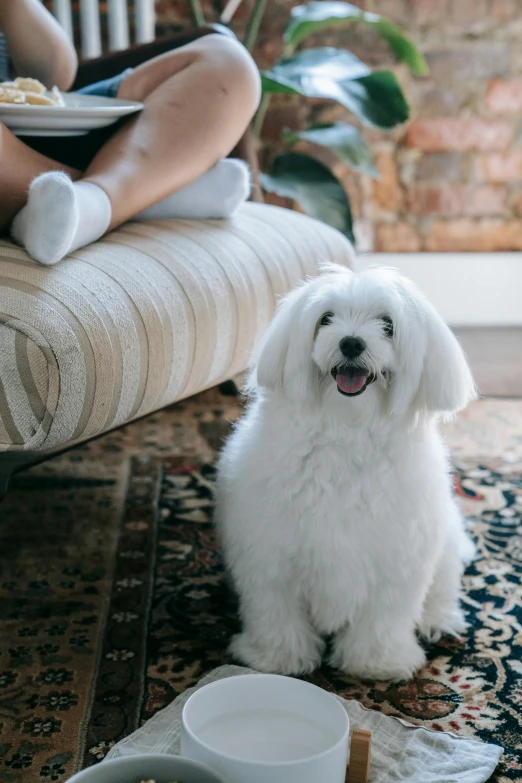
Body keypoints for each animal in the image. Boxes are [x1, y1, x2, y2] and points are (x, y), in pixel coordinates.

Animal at [212, 264, 476, 680]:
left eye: (387, 324)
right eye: (326, 318)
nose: (351, 343)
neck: (346, 431)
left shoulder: (396, 561)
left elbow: (383, 618)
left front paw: (377, 663)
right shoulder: (269, 554)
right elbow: (275, 610)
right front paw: (277, 658)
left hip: (444, 547)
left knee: (443, 589)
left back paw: (437, 620)